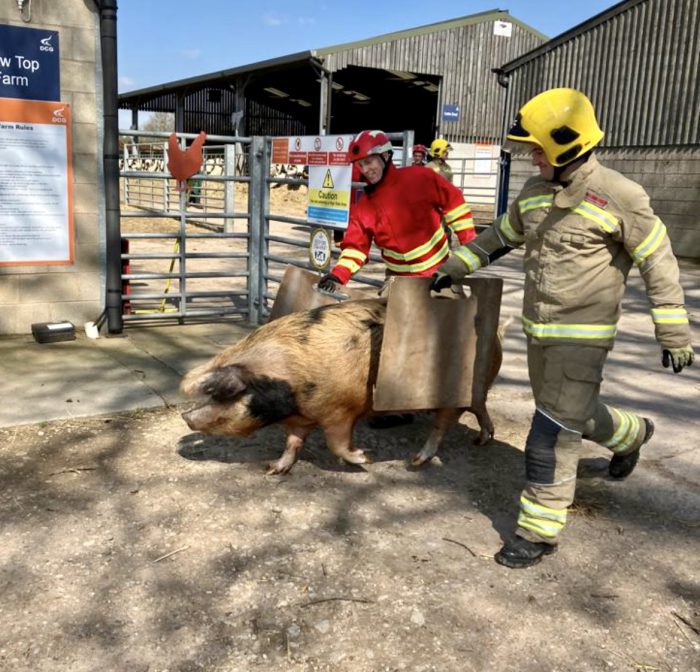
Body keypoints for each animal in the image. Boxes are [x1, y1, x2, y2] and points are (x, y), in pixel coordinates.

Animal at [178, 300, 500, 472]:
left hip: (452, 396)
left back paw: (417, 460)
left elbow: (337, 444)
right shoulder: (301, 419)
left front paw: (365, 458)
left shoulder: (342, 411)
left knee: (441, 426)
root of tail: (495, 339)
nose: (185, 416)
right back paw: (483, 440)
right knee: (481, 409)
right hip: (475, 394)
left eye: (222, 393)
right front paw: (273, 470)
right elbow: (292, 443)